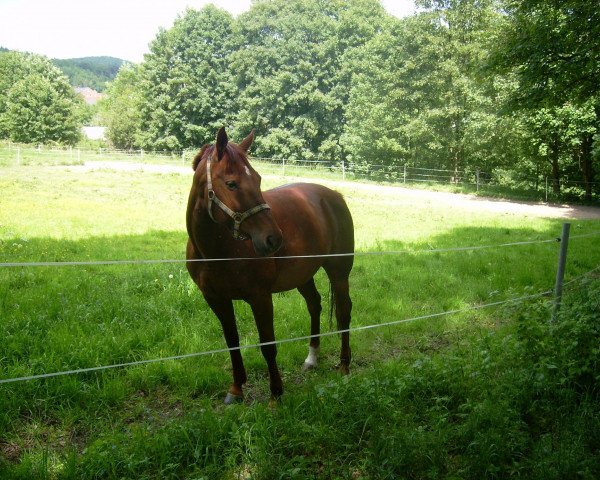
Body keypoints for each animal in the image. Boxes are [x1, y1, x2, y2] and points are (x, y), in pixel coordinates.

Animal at [185, 125, 354, 404]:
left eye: (258, 179)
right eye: (231, 183)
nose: (272, 239)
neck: (216, 252)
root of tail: (334, 196)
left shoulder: (260, 297)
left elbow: (267, 344)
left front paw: (275, 394)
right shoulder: (215, 299)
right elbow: (232, 341)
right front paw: (236, 389)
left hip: (339, 273)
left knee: (343, 312)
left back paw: (344, 366)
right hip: (303, 275)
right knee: (315, 305)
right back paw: (312, 358)